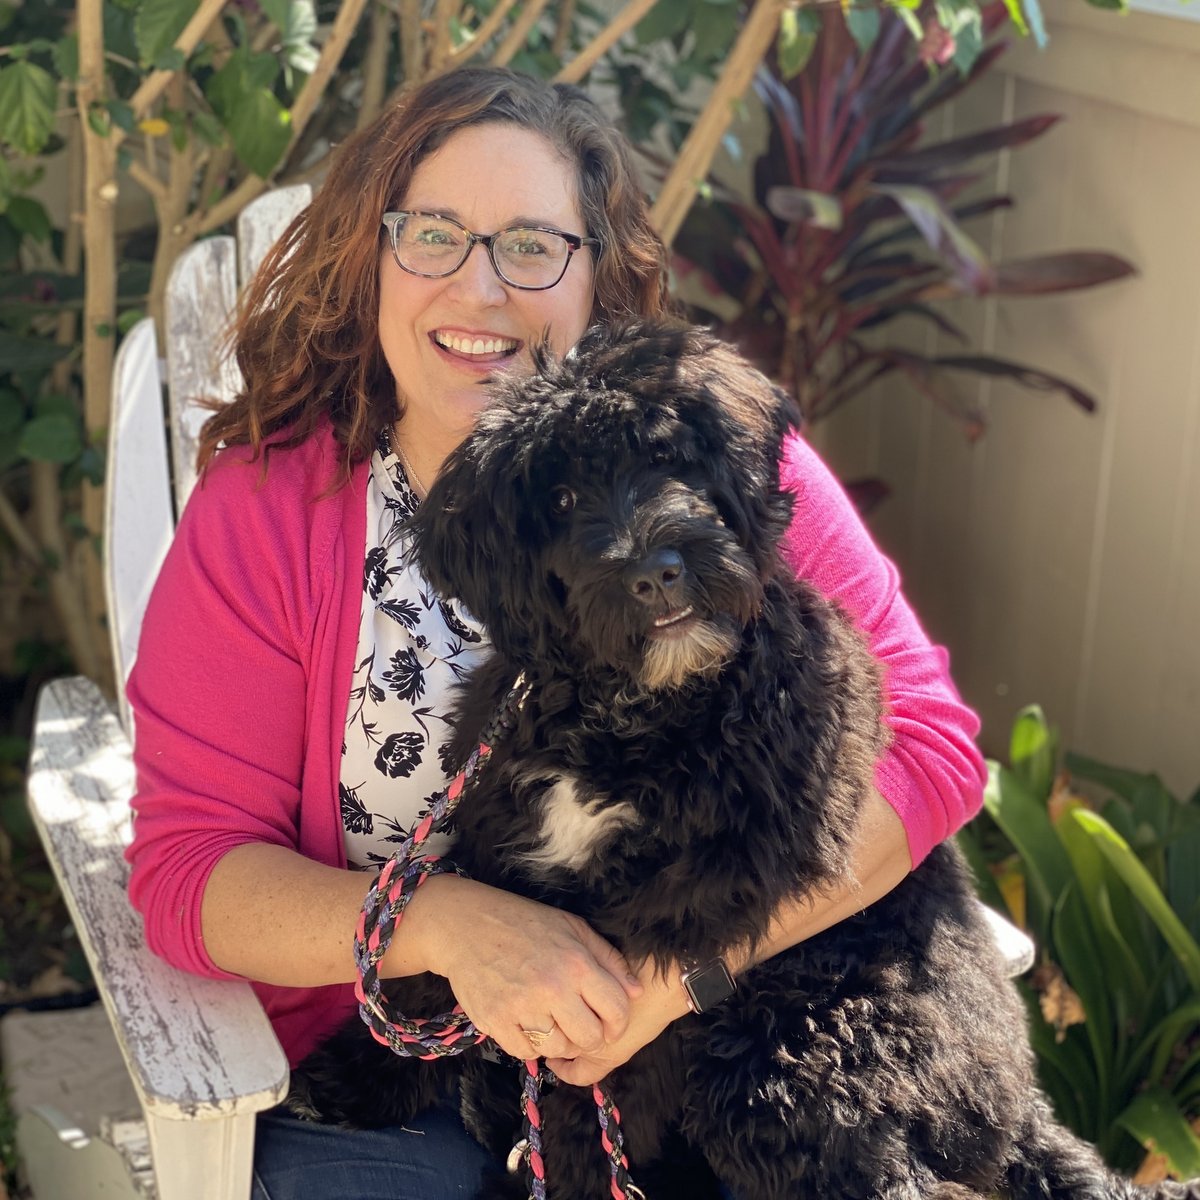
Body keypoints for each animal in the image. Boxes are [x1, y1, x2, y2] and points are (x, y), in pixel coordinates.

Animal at [290, 321, 1200, 1200]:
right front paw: (356, 1077)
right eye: (559, 498)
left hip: (794, 1065)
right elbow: (439, 951)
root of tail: (1021, 1116)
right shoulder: (502, 845)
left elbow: (604, 1073)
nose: (656, 573)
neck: (637, 712)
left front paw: (567, 1161)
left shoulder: (683, 911)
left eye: (668, 456)